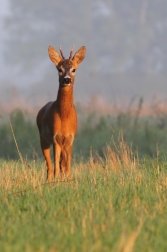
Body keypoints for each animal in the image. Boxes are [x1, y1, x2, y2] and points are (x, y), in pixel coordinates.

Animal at [36, 45, 86, 181]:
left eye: (74, 69)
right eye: (60, 69)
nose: (67, 79)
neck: (64, 116)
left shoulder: (70, 139)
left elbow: (67, 167)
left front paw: (68, 181)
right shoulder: (55, 138)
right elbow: (56, 168)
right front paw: (56, 183)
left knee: (60, 165)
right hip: (43, 138)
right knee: (49, 166)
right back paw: (48, 181)